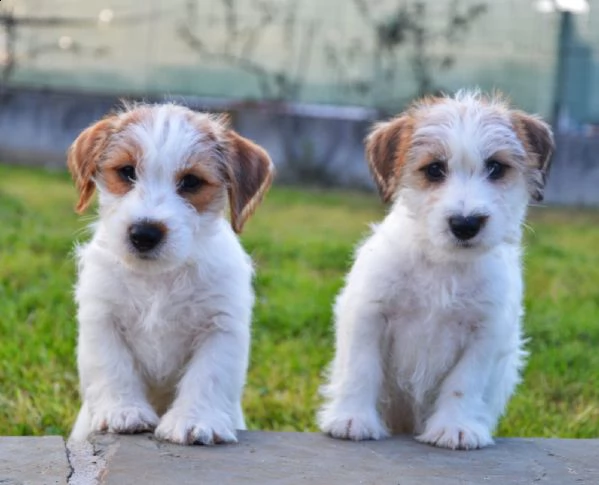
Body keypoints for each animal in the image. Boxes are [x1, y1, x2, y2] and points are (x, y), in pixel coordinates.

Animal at [67, 104, 274, 444]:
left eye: (191, 182)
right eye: (127, 171)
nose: (144, 233)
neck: (157, 279)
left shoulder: (220, 326)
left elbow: (208, 374)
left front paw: (195, 419)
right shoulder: (102, 317)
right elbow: (112, 366)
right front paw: (123, 411)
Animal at [318, 91, 552, 450]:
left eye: (496, 167)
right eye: (434, 169)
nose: (466, 223)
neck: (443, 265)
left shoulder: (485, 330)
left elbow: (464, 382)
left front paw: (455, 427)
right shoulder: (369, 313)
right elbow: (361, 369)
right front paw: (352, 418)